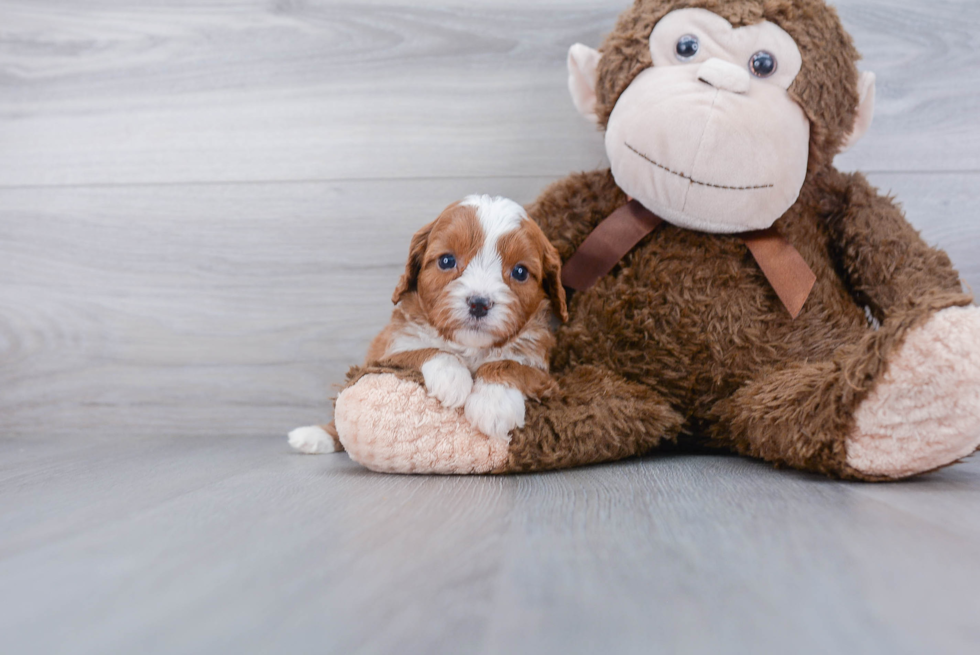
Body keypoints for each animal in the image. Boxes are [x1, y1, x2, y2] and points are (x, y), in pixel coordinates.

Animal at [288, 193, 568, 456]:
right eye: (446, 261)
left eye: (520, 272)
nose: (479, 303)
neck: (470, 347)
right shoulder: (388, 354)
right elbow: (423, 351)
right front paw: (452, 377)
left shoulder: (543, 371)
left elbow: (512, 365)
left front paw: (493, 403)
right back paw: (314, 436)